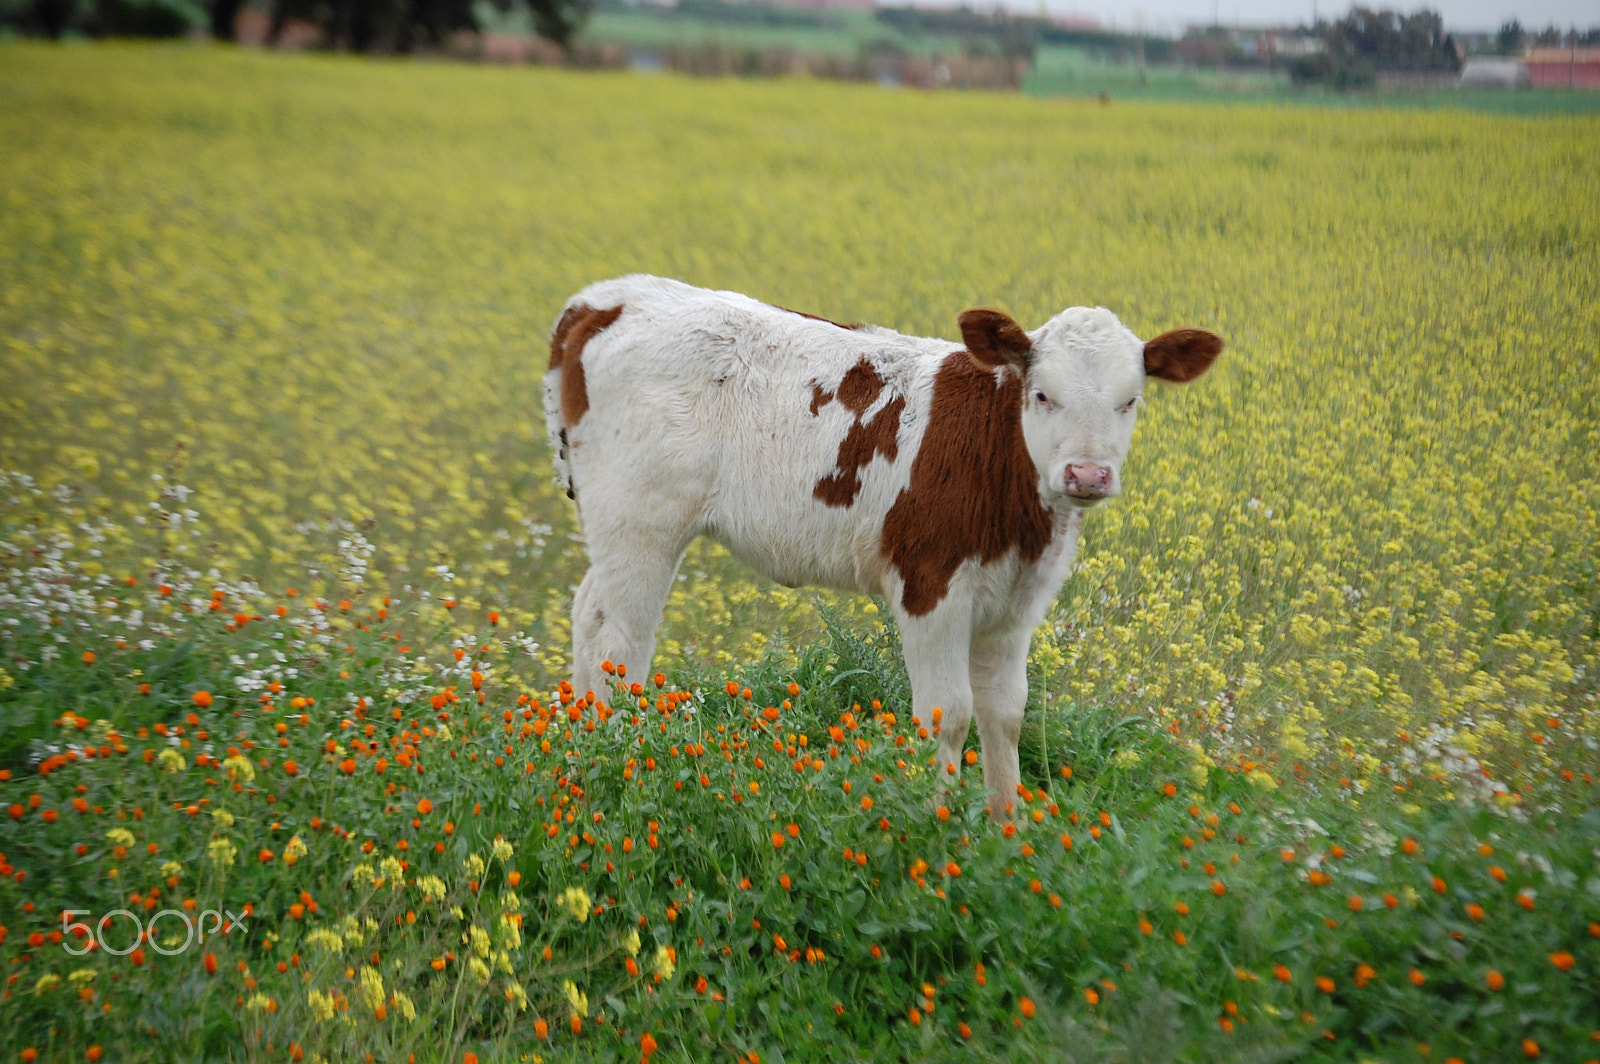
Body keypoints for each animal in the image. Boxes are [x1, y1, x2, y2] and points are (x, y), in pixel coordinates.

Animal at [544, 274, 1222, 815]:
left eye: (1130, 401)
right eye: (1042, 394)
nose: (1087, 475)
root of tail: (605, 298)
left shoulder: (1017, 602)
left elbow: (1007, 713)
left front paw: (1008, 831)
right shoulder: (931, 583)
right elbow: (947, 713)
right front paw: (935, 827)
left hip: (616, 530)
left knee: (588, 614)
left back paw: (580, 756)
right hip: (643, 524)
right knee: (623, 645)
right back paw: (620, 765)